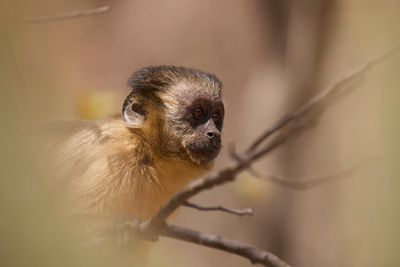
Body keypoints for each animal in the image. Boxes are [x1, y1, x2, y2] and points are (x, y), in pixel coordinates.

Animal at [43, 66, 225, 227]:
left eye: (216, 117)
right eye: (198, 112)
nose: (214, 133)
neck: (145, 149)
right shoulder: (115, 161)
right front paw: (120, 227)